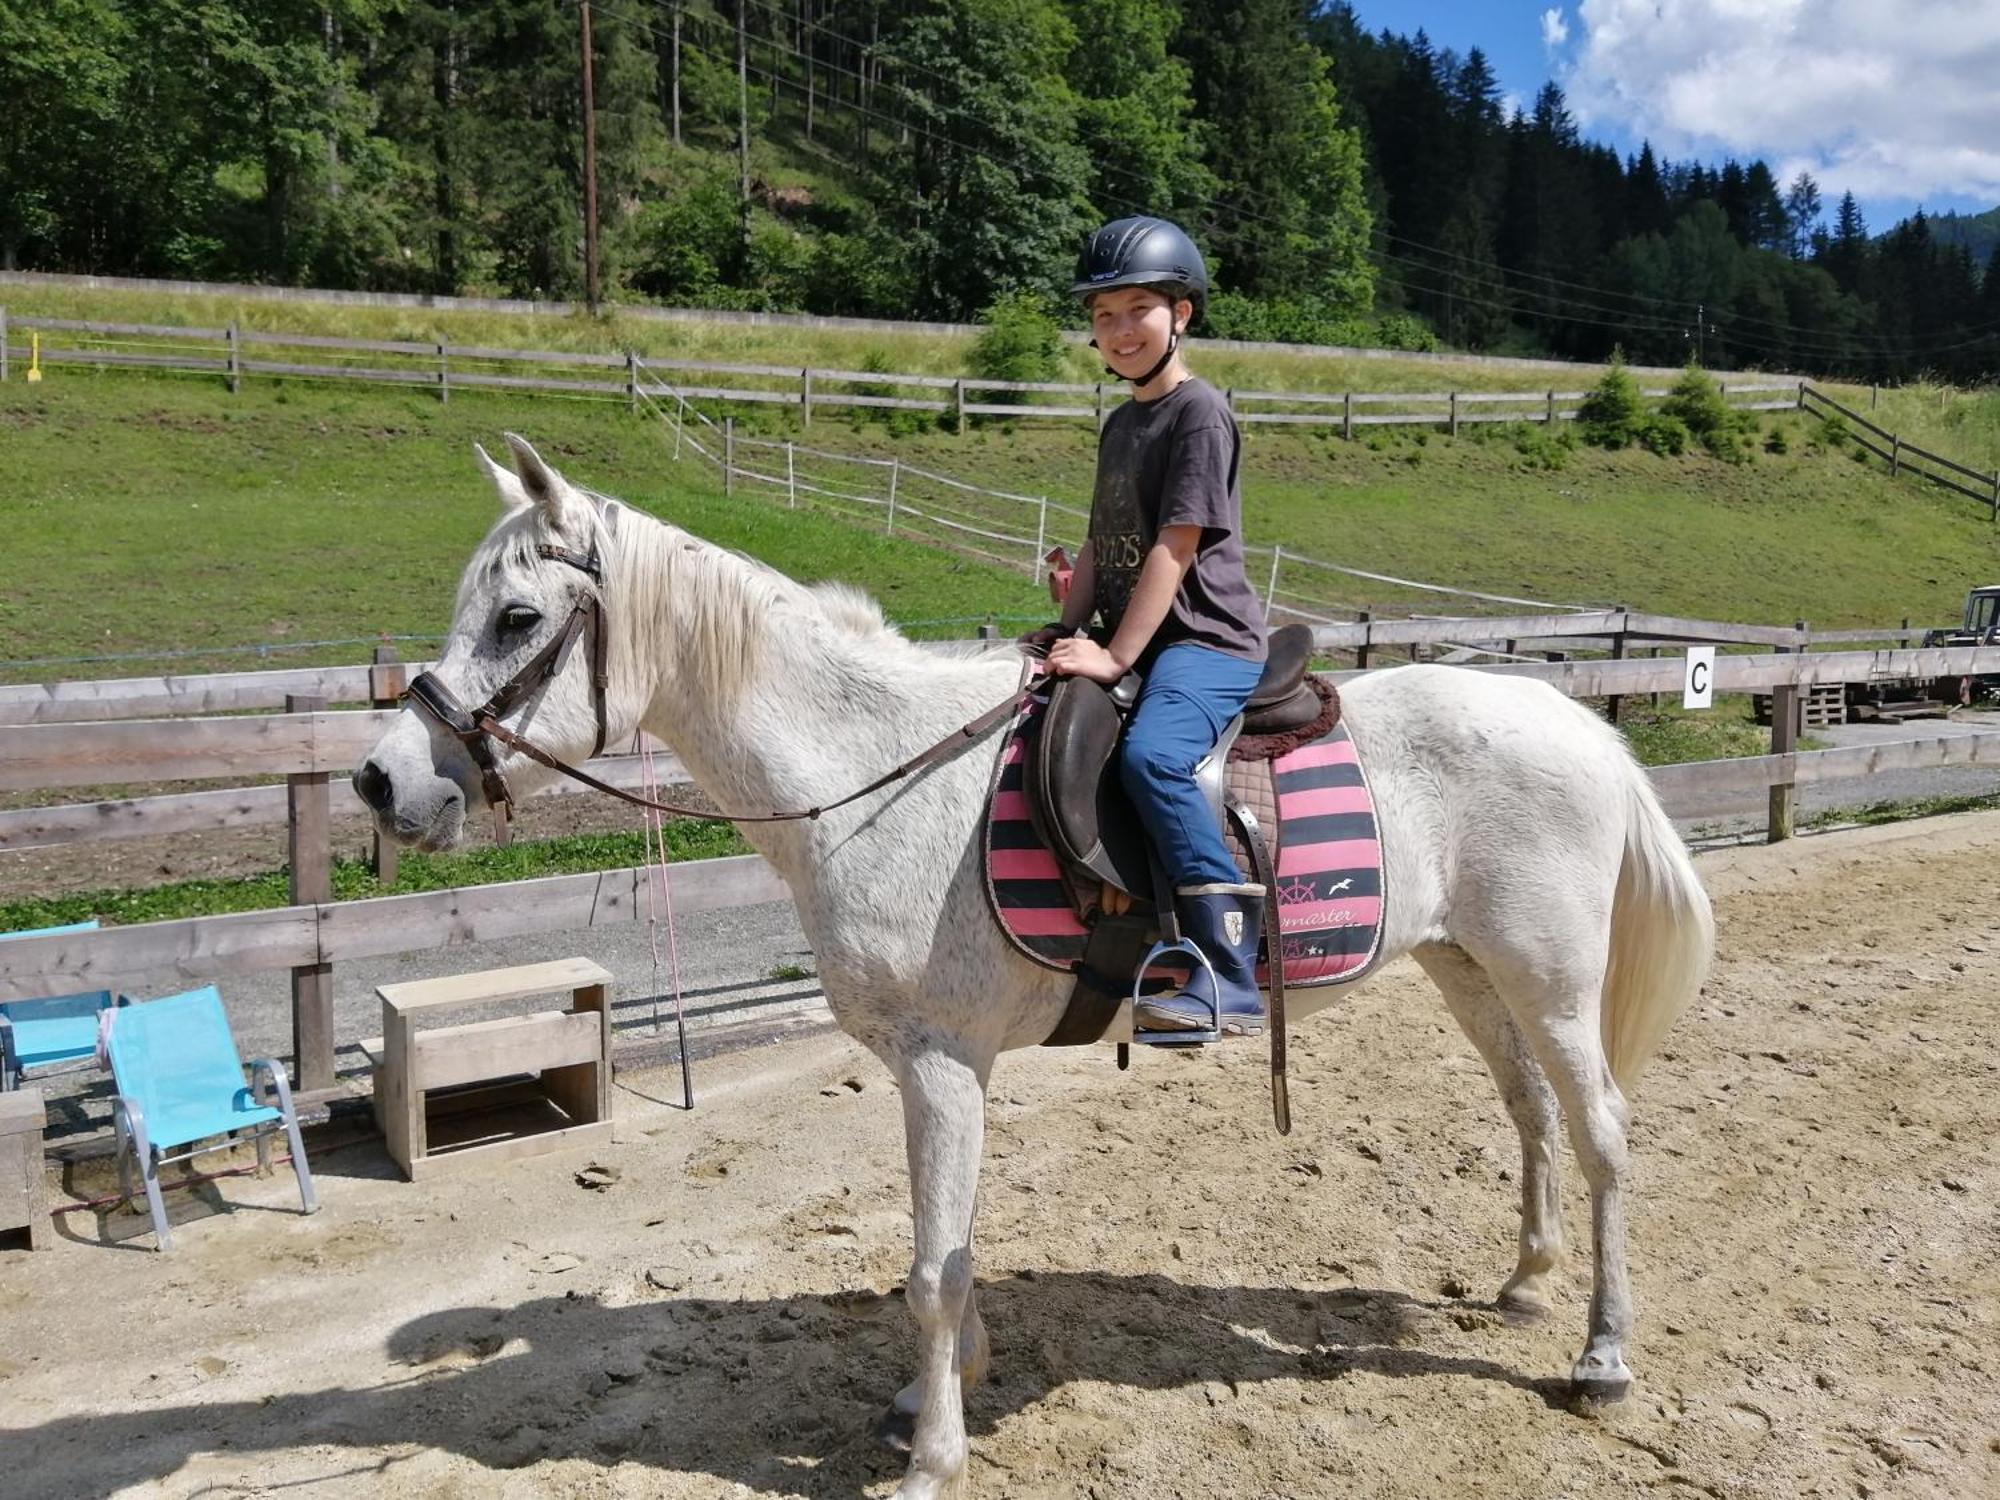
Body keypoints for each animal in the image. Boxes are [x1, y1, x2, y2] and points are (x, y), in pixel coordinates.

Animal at [360, 438, 1720, 1500]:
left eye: (518, 620)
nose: (380, 780)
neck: (875, 771)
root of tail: (1581, 722)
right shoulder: (934, 1071)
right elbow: (947, 1246)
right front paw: (937, 1397)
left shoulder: (940, 1062)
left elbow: (929, 1267)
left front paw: (932, 1455)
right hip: (1467, 968)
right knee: (1530, 1110)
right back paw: (1526, 1283)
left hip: (1548, 977)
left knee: (1601, 1131)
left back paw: (1601, 1356)